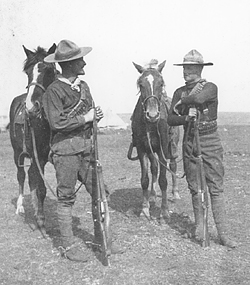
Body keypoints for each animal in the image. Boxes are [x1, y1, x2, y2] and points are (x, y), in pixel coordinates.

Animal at [129, 59, 180, 220]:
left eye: (161, 83)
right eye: (140, 84)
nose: (152, 115)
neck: (151, 125)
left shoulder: (163, 148)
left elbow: (164, 180)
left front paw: (164, 210)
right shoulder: (142, 149)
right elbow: (145, 179)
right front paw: (145, 209)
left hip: (172, 147)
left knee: (173, 166)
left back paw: (175, 193)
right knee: (154, 168)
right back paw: (152, 195)